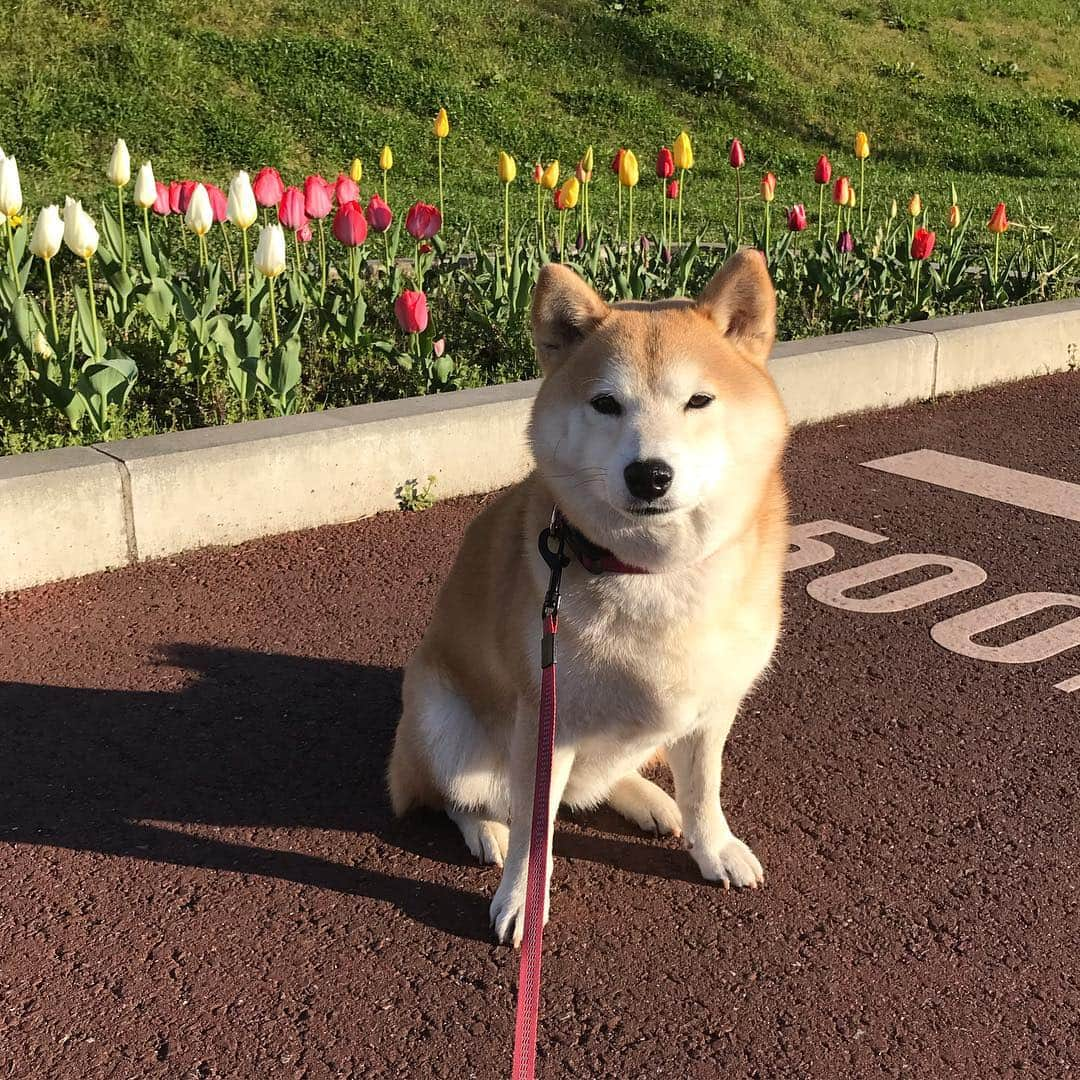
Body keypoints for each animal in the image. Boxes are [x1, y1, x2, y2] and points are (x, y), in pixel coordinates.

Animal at [388, 248, 786, 941]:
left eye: (699, 400)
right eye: (606, 403)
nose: (649, 474)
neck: (652, 574)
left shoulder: (712, 707)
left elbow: (704, 790)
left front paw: (714, 846)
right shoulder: (545, 722)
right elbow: (534, 831)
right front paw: (523, 899)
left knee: (595, 784)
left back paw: (649, 801)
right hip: (441, 717)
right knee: (457, 795)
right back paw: (484, 830)